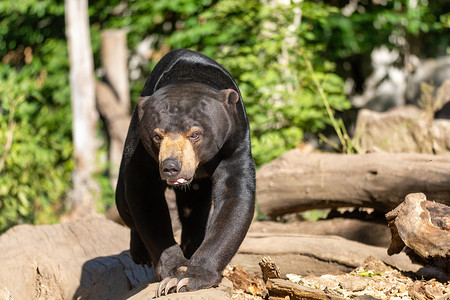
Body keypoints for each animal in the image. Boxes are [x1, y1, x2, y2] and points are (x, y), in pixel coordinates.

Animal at [115, 48, 256, 296]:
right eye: (157, 135)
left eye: (195, 134)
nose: (171, 166)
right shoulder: (141, 151)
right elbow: (144, 196)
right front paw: (174, 271)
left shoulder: (234, 141)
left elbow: (235, 196)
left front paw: (191, 277)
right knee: (123, 202)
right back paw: (140, 253)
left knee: (194, 211)